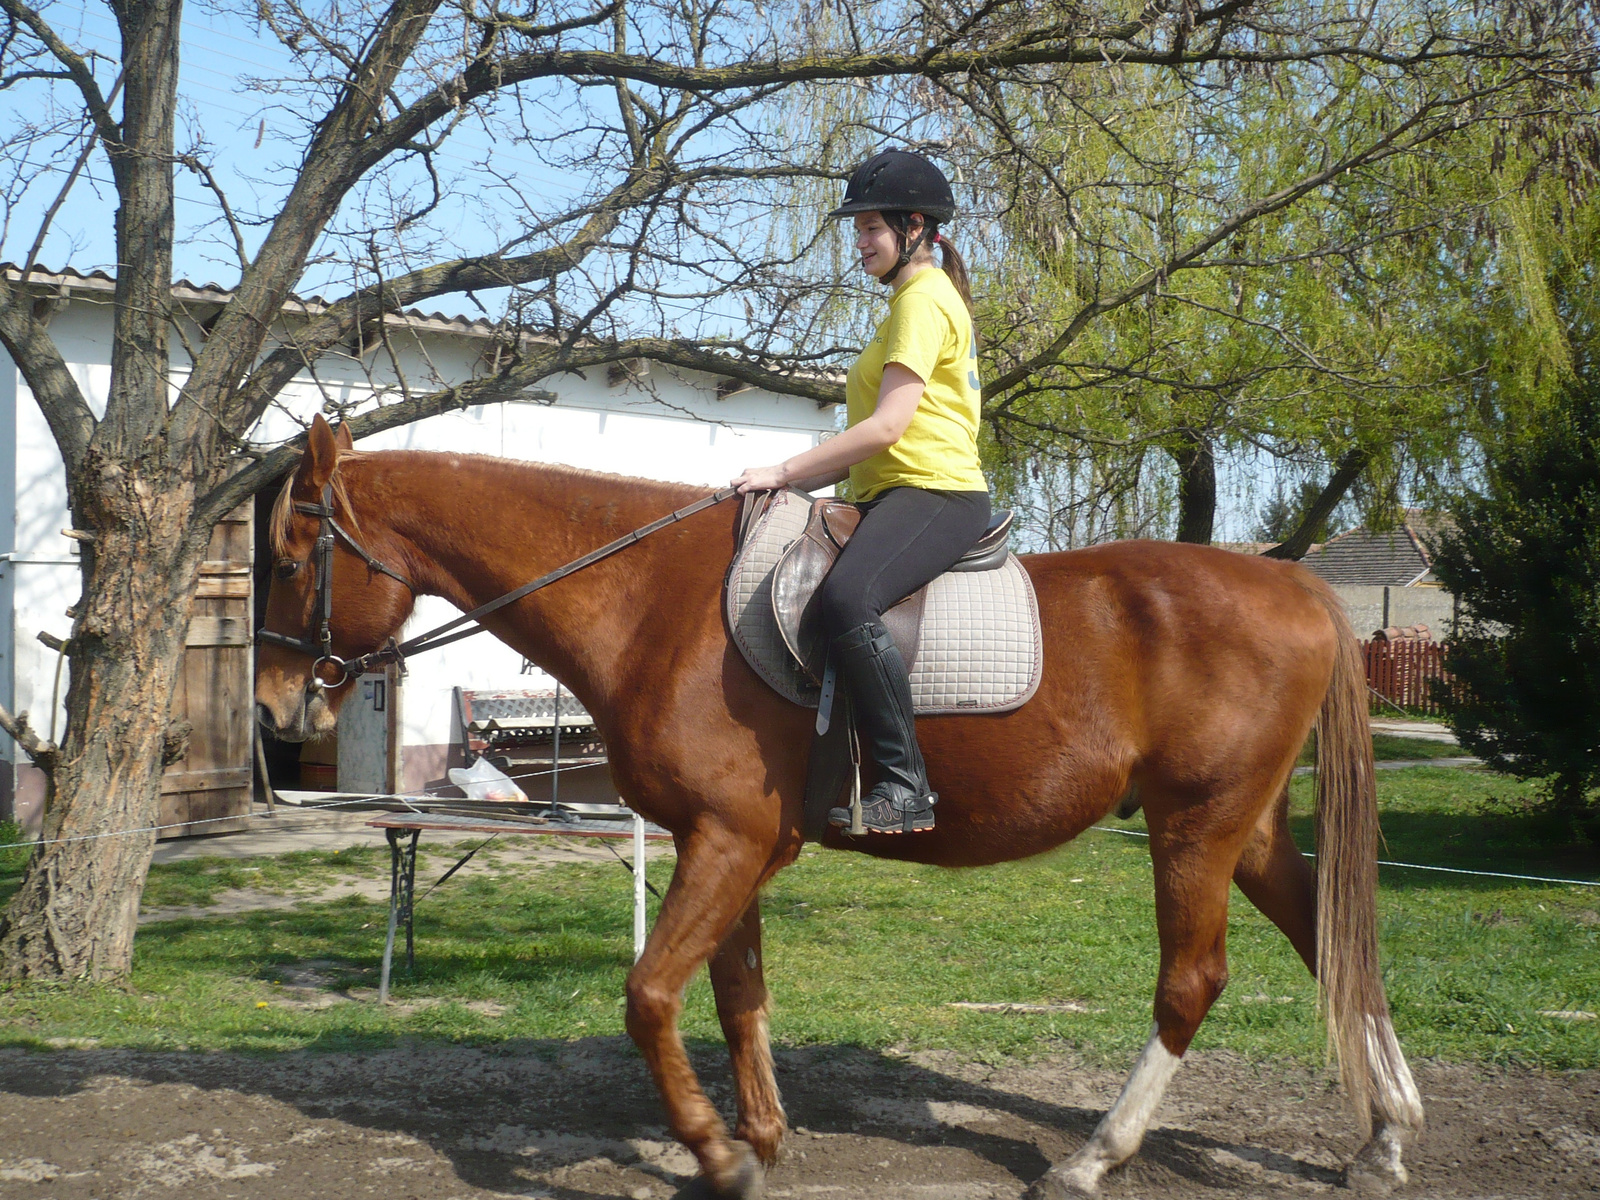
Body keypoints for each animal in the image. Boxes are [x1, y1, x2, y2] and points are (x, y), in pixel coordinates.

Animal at [259, 419, 1427, 1196]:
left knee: (1191, 982)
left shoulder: (728, 840)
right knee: (1332, 940)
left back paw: (1093, 1158)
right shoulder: (722, 843)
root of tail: (1295, 586)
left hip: (1194, 826)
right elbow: (736, 993)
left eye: (288, 557)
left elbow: (649, 995)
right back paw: (1385, 1135)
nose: (276, 712)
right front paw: (764, 1138)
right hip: (1246, 827)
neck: (654, 600)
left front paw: (717, 1153)